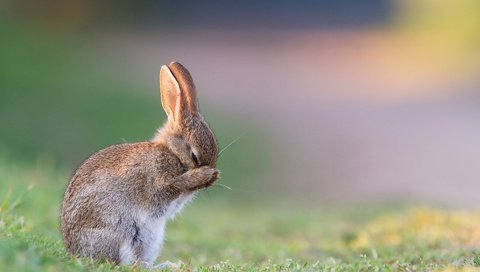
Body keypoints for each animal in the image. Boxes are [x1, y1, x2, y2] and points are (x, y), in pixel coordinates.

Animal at [60, 61, 219, 266]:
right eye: (194, 156)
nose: (212, 172)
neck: (171, 152)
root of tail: (75, 251)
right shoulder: (159, 182)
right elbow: (172, 187)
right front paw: (204, 175)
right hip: (121, 232)